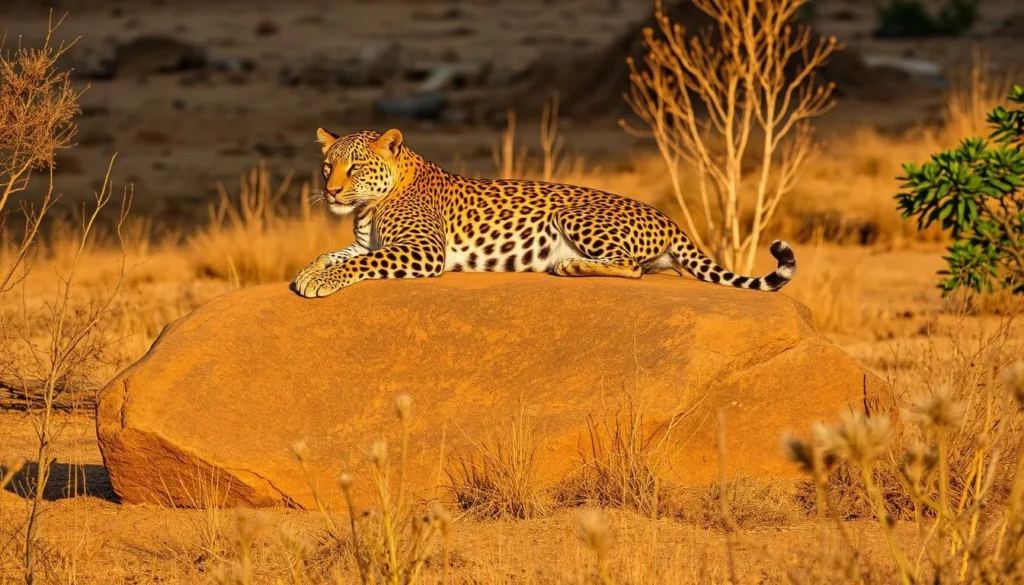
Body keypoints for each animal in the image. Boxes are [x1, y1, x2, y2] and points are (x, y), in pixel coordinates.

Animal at [291, 128, 796, 298]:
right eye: (327, 167)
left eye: (355, 167)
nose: (330, 191)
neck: (369, 206)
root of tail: (671, 220)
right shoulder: (363, 242)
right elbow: (335, 254)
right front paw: (308, 272)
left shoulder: (421, 250)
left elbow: (360, 263)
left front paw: (320, 282)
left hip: (573, 214)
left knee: (632, 267)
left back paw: (569, 265)